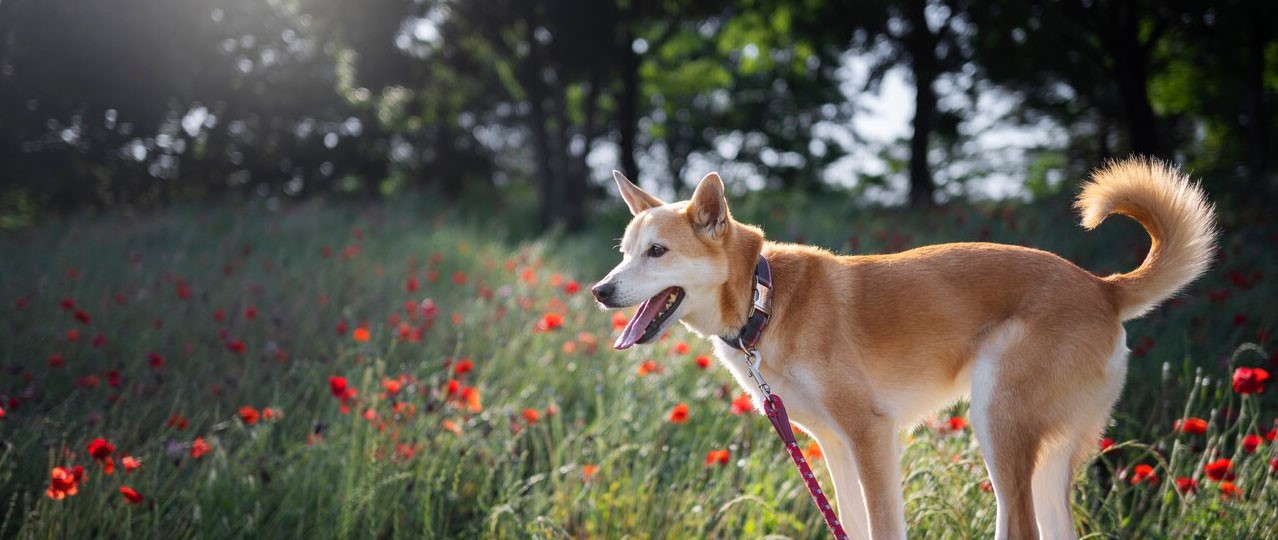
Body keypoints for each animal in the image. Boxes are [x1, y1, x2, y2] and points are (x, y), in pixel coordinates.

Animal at [587, 159, 1216, 540]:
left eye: (658, 252)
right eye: (624, 252)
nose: (599, 290)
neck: (765, 299)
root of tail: (1102, 287)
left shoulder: (871, 434)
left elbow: (885, 526)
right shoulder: (835, 446)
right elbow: (854, 526)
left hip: (997, 423)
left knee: (1019, 527)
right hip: (1049, 456)